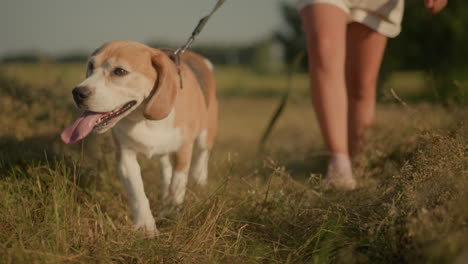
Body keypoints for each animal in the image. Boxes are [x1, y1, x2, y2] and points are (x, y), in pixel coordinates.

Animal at [59, 41, 218, 235]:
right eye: (90, 66)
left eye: (119, 71)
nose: (77, 93)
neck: (145, 119)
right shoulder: (125, 157)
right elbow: (138, 194)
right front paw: (145, 227)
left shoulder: (183, 150)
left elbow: (177, 185)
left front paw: (172, 214)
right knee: (166, 168)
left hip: (206, 134)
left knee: (201, 158)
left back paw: (199, 183)